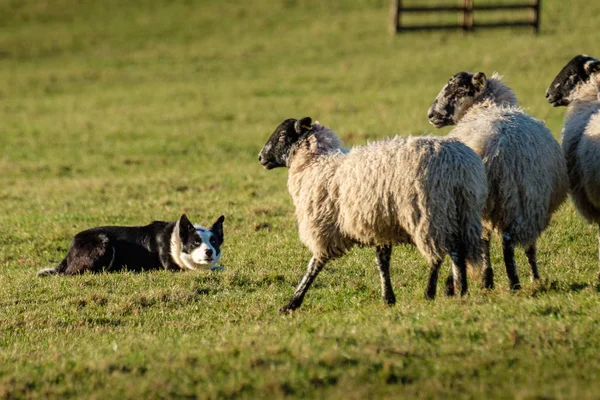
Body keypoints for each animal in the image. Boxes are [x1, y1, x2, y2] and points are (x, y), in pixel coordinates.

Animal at [258, 116, 488, 312]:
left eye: (282, 136)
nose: (260, 157)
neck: (315, 162)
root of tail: (460, 166)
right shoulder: (380, 223)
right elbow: (382, 262)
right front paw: (388, 298)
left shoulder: (324, 226)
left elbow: (315, 265)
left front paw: (292, 303)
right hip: (463, 213)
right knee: (458, 250)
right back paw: (460, 290)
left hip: (429, 213)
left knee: (442, 254)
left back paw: (435, 291)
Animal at [426, 71, 568, 290]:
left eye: (459, 90)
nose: (431, 115)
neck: (489, 106)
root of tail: (496, 147)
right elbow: (529, 246)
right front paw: (534, 277)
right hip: (521, 200)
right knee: (514, 242)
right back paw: (519, 281)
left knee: (489, 240)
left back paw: (491, 279)